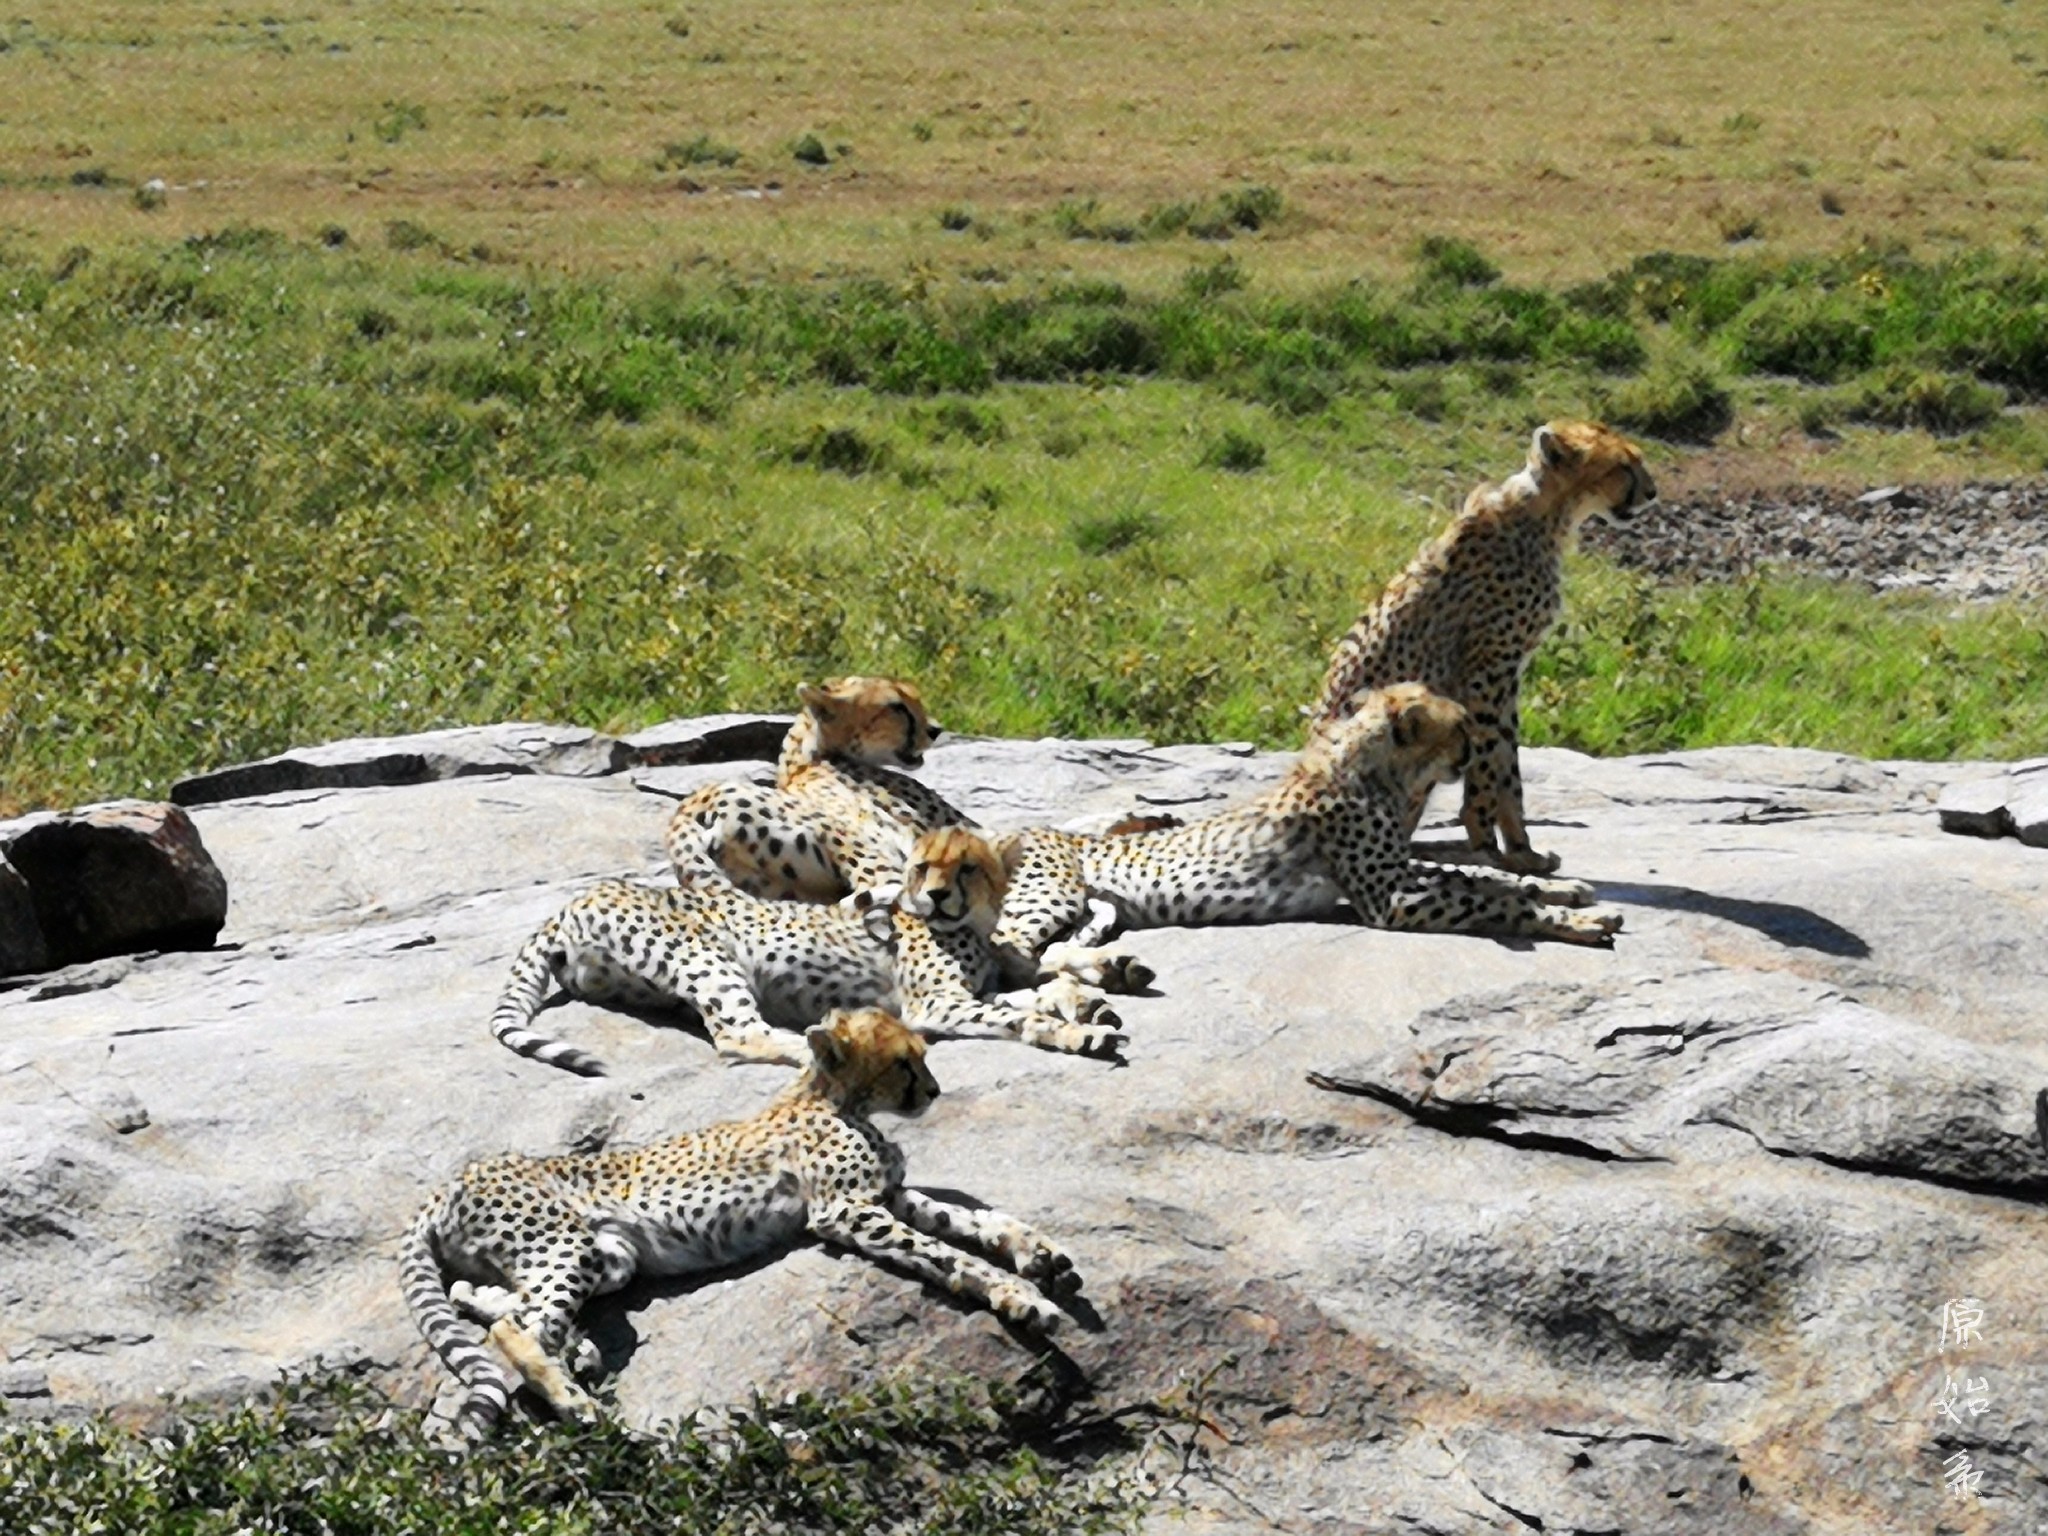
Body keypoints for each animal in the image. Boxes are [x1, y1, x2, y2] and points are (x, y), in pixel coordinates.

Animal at [397, 1011, 1081, 1441]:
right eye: (904, 1064)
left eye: (921, 1059)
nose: (934, 1092)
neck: (829, 1096)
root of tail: (452, 1180)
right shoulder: (846, 1210)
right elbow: (948, 1253)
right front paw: (1024, 1299)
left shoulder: (887, 1194)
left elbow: (970, 1217)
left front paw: (1039, 1254)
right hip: (568, 1245)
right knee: (515, 1326)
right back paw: (571, 1397)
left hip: (610, 1256)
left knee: (480, 1293)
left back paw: (576, 1352)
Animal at [489, 823, 1122, 1073]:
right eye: (922, 868)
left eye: (967, 868)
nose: (937, 896)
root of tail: (569, 902)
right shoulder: (936, 1006)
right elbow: (1019, 1017)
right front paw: (1077, 1031)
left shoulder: (971, 990)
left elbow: (1024, 996)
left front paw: (1086, 1002)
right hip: (705, 958)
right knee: (737, 1036)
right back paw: (818, 1045)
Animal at [983, 684, 1622, 974]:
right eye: (1462, 725)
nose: (1481, 749)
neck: (1376, 772)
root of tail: (1023, 831)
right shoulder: (1390, 898)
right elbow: (1492, 903)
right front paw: (1575, 922)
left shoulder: (1399, 869)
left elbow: (1477, 875)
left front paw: (1566, 890)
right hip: (1053, 895)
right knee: (1007, 949)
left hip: (1097, 911)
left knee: (1048, 951)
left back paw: (1109, 973)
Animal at [1310, 421, 1662, 876]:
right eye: (1623, 467)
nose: (1652, 492)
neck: (1547, 514)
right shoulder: (1487, 672)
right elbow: (1487, 758)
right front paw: (1488, 843)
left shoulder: (1507, 676)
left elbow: (1507, 763)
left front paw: (1521, 849)